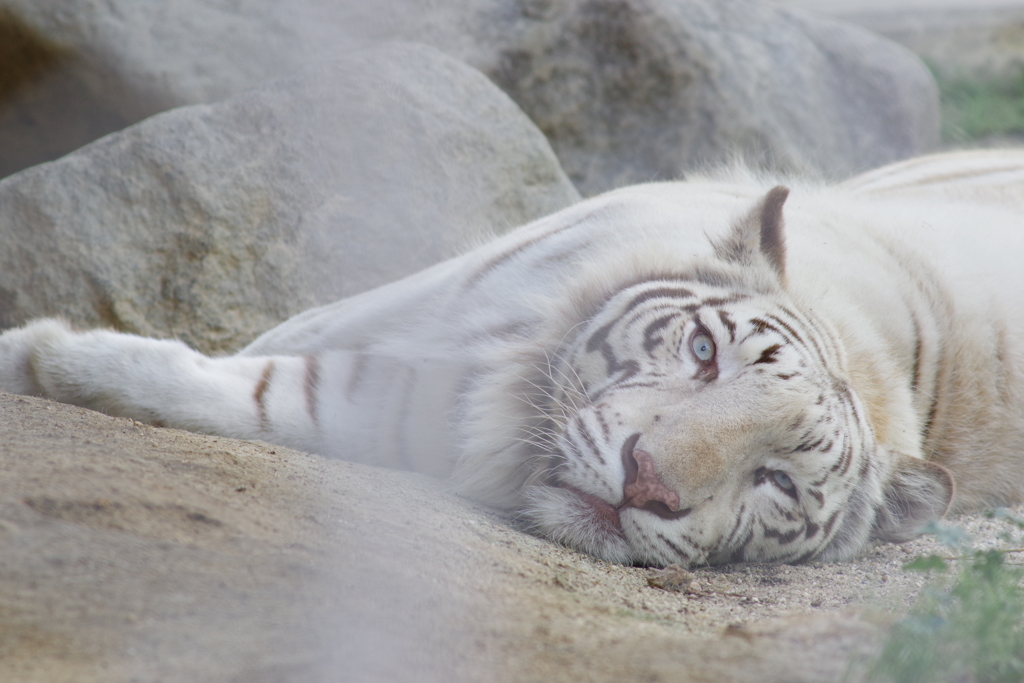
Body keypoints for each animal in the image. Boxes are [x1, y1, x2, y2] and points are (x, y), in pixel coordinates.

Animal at [2, 149, 1024, 565]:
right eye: (704, 352)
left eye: (775, 478)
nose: (647, 480)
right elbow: (282, 342)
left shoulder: (399, 409)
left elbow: (264, 394)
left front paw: (45, 356)